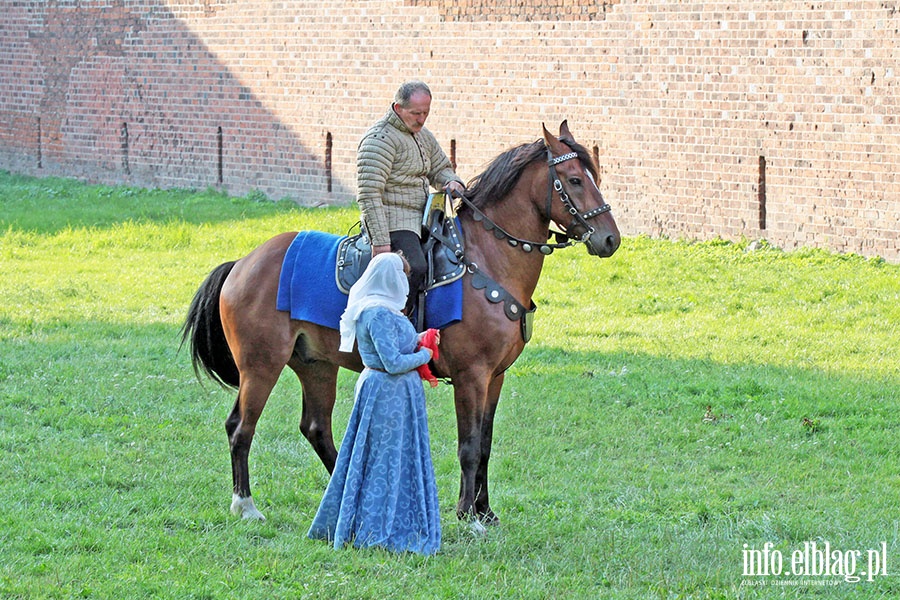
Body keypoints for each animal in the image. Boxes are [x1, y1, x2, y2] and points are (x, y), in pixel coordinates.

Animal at [183, 120, 620, 520]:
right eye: (574, 180)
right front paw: (466, 515)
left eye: (594, 177)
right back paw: (246, 505)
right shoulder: (471, 375)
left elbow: (485, 444)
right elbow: (468, 445)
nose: (610, 239)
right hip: (261, 365)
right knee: (241, 427)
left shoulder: (495, 377)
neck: (486, 262)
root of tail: (244, 263)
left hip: (316, 365)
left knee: (316, 428)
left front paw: (484, 512)